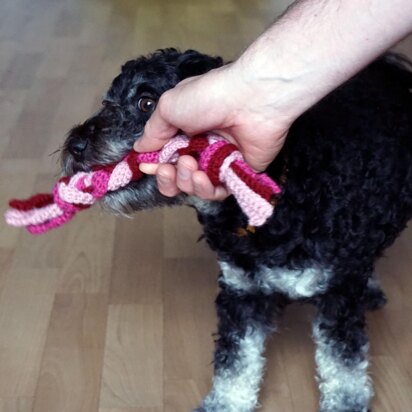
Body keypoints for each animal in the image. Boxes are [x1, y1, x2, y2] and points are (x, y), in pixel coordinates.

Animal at [61, 49, 412, 412]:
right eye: (106, 101)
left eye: (146, 103)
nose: (75, 145)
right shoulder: (243, 291)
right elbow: (236, 363)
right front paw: (225, 403)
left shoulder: (337, 299)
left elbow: (344, 369)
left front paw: (345, 402)